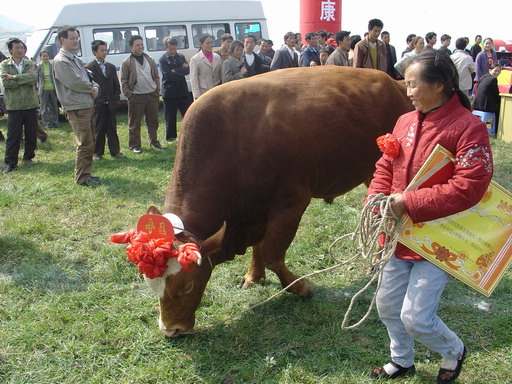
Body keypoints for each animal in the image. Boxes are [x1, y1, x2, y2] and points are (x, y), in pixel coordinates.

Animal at [143, 66, 412, 336]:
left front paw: (301, 287)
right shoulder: (256, 212)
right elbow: (258, 247)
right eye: (149, 283)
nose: (170, 330)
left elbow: (272, 254)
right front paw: (253, 276)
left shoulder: (289, 206)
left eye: (186, 287)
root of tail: (396, 83)